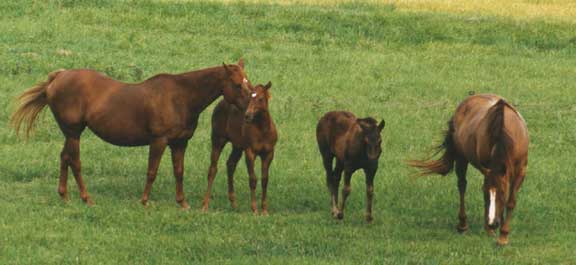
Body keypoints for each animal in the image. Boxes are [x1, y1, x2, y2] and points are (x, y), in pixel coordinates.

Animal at [11, 58, 250, 207]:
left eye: (247, 82)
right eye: (238, 84)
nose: (250, 110)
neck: (181, 97)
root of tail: (57, 78)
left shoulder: (179, 143)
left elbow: (179, 172)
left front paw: (182, 202)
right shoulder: (159, 141)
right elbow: (152, 171)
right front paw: (144, 201)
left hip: (70, 134)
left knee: (64, 158)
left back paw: (65, 196)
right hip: (74, 133)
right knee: (75, 162)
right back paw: (86, 198)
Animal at [201, 81, 278, 213]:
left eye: (261, 99)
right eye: (250, 98)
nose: (247, 115)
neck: (263, 131)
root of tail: (222, 102)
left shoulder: (268, 153)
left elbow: (265, 180)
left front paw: (264, 210)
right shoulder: (250, 152)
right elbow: (253, 179)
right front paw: (254, 209)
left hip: (237, 146)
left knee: (230, 164)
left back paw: (233, 203)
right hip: (218, 140)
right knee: (212, 169)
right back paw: (205, 205)